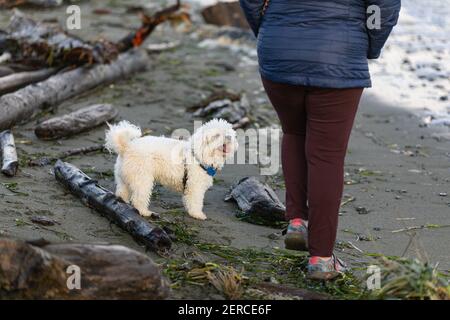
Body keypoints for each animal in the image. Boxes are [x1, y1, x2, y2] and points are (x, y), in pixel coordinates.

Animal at [105, 119, 239, 220]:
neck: (200, 155)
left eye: (228, 133)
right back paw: (145, 212)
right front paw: (197, 214)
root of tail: (127, 147)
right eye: (217, 135)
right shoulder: (195, 186)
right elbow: (195, 201)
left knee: (122, 192)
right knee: (138, 199)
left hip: (124, 177)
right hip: (143, 179)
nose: (228, 137)